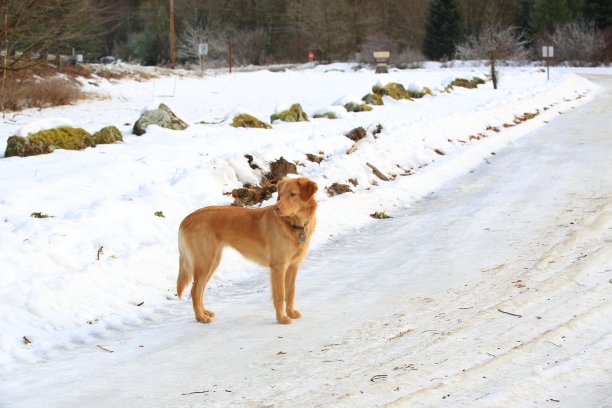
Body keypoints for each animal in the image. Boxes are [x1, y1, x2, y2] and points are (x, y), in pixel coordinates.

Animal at [177, 177, 318, 324]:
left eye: (292, 194)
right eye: (281, 194)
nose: (276, 208)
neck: (294, 225)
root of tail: (186, 219)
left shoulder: (293, 266)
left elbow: (290, 293)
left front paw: (290, 312)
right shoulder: (278, 267)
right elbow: (280, 296)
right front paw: (282, 318)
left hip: (212, 262)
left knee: (200, 290)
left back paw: (204, 312)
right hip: (205, 262)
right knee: (195, 291)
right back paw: (200, 317)